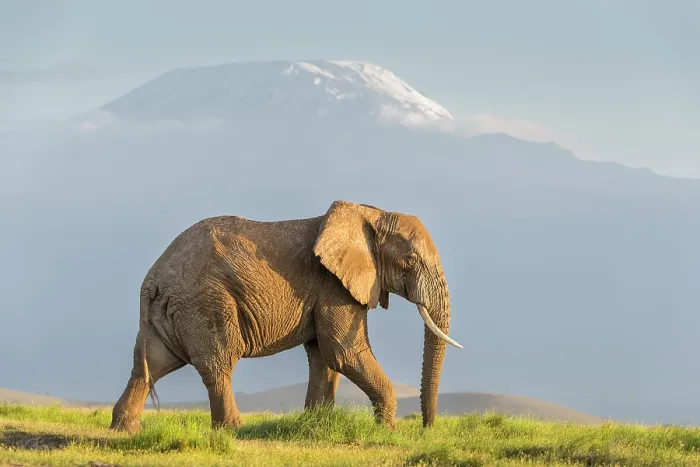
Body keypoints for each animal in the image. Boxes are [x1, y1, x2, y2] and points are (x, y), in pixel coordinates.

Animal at [110, 200, 462, 433]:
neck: (370, 213)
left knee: (150, 364)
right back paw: (234, 431)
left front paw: (317, 424)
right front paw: (386, 430)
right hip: (204, 303)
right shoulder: (334, 285)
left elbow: (324, 356)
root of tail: (152, 279)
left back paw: (124, 429)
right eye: (410, 261)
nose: (426, 429)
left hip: (170, 310)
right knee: (217, 364)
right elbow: (343, 351)